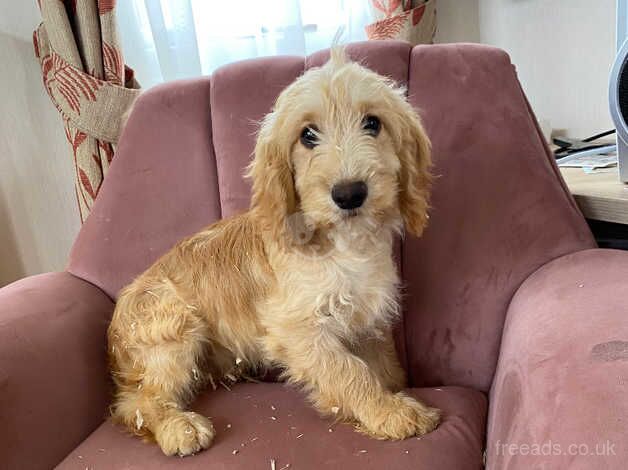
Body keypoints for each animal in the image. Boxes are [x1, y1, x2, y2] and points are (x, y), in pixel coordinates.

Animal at [108, 50, 440, 456]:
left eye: (373, 123)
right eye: (308, 135)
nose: (349, 193)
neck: (343, 246)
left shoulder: (367, 318)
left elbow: (384, 365)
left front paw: (393, 393)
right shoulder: (296, 330)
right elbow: (349, 371)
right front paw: (388, 412)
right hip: (174, 328)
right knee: (135, 403)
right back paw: (178, 427)